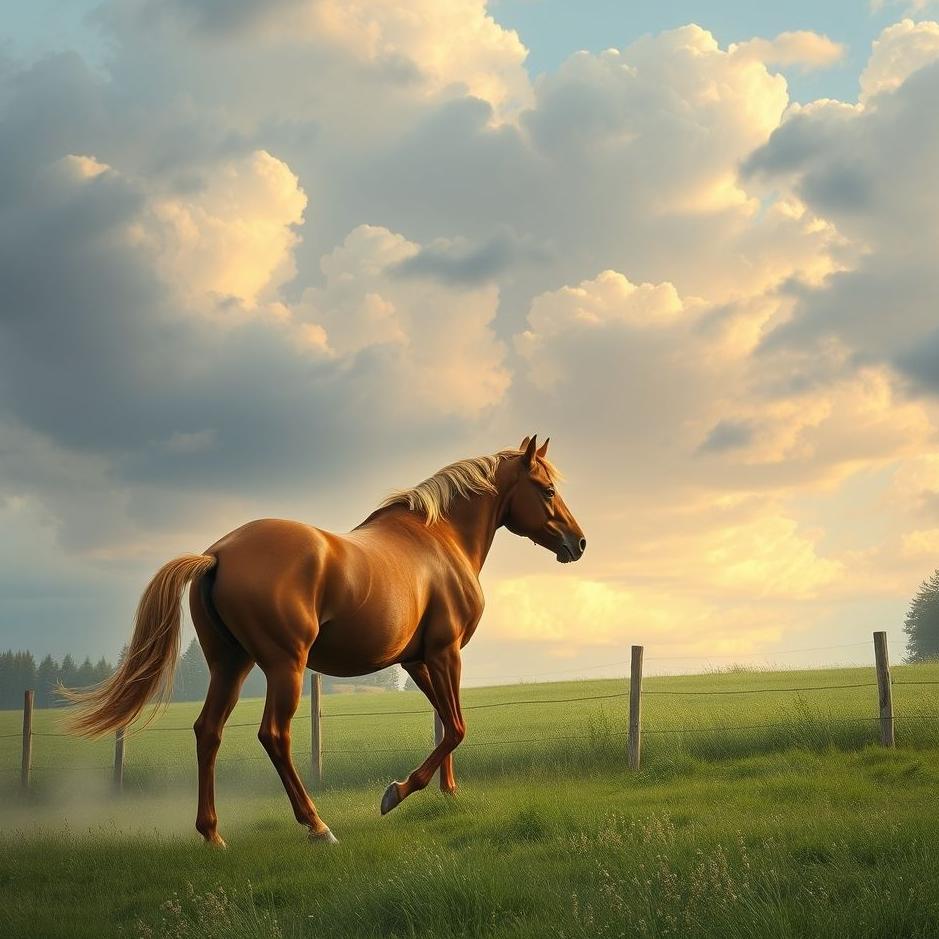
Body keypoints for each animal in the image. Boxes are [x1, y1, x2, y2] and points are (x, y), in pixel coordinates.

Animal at [64, 435, 586, 846]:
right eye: (548, 489)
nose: (578, 543)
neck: (439, 540)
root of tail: (217, 554)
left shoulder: (417, 661)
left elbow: (445, 721)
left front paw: (449, 792)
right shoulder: (444, 653)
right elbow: (456, 726)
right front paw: (396, 792)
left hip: (230, 666)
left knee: (208, 732)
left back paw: (212, 833)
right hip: (285, 667)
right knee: (274, 735)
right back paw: (317, 827)